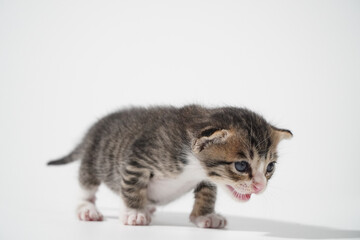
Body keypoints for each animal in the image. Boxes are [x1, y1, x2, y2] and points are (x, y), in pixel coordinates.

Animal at [47, 105, 292, 229]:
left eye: (270, 167)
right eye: (241, 166)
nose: (260, 186)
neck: (193, 165)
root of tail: (92, 130)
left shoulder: (205, 178)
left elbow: (207, 194)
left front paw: (205, 216)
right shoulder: (137, 160)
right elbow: (132, 187)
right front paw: (134, 213)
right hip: (92, 159)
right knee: (86, 185)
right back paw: (87, 209)